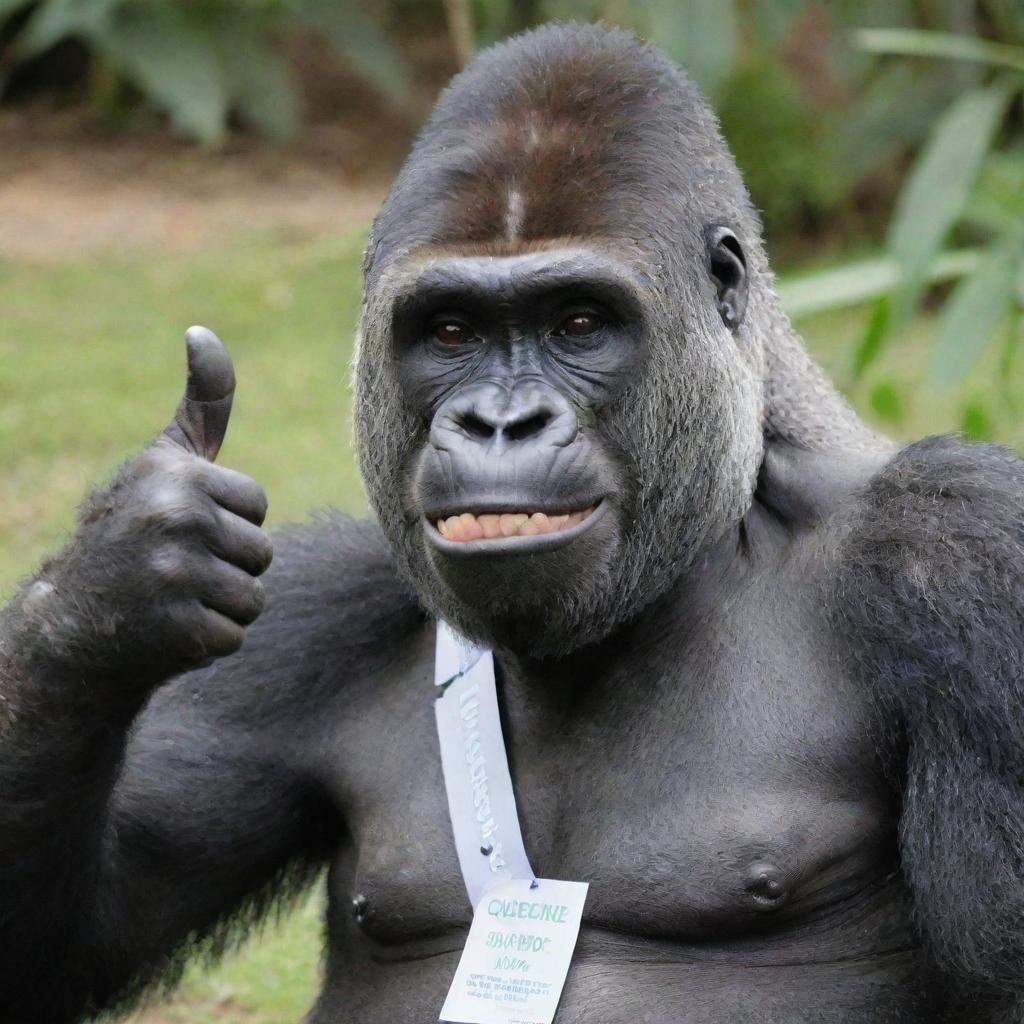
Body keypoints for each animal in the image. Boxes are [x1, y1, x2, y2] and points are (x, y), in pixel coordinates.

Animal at [2, 22, 1024, 1024]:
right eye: (451, 331)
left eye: (579, 322)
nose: (501, 422)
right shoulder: (315, 608)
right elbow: (77, 937)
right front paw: (112, 589)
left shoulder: (965, 554)